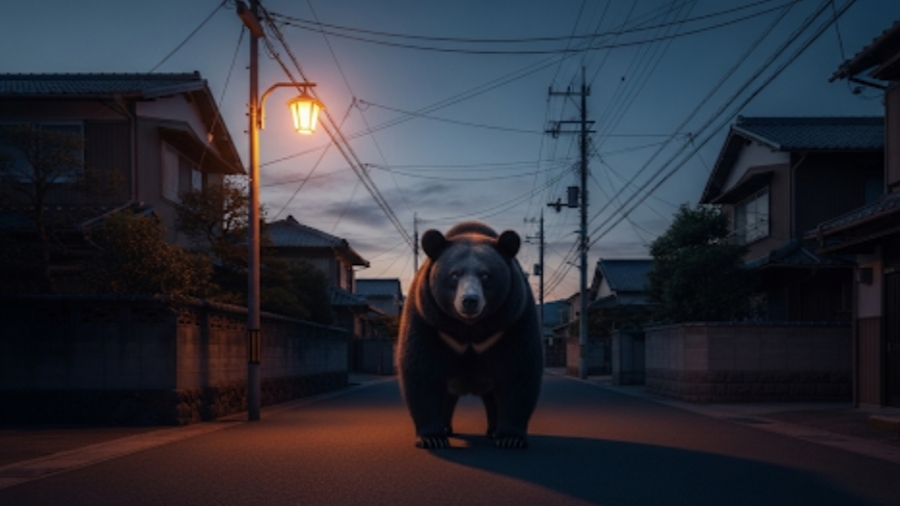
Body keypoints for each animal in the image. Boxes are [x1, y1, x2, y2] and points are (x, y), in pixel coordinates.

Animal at [396, 221, 543, 449]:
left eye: (486, 275)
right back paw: (446, 428)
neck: (470, 329)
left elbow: (518, 371)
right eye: (454, 275)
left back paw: (494, 430)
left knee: (492, 397)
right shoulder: (429, 322)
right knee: (448, 396)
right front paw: (432, 438)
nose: (469, 301)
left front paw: (511, 438)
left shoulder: (512, 322)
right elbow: (423, 371)